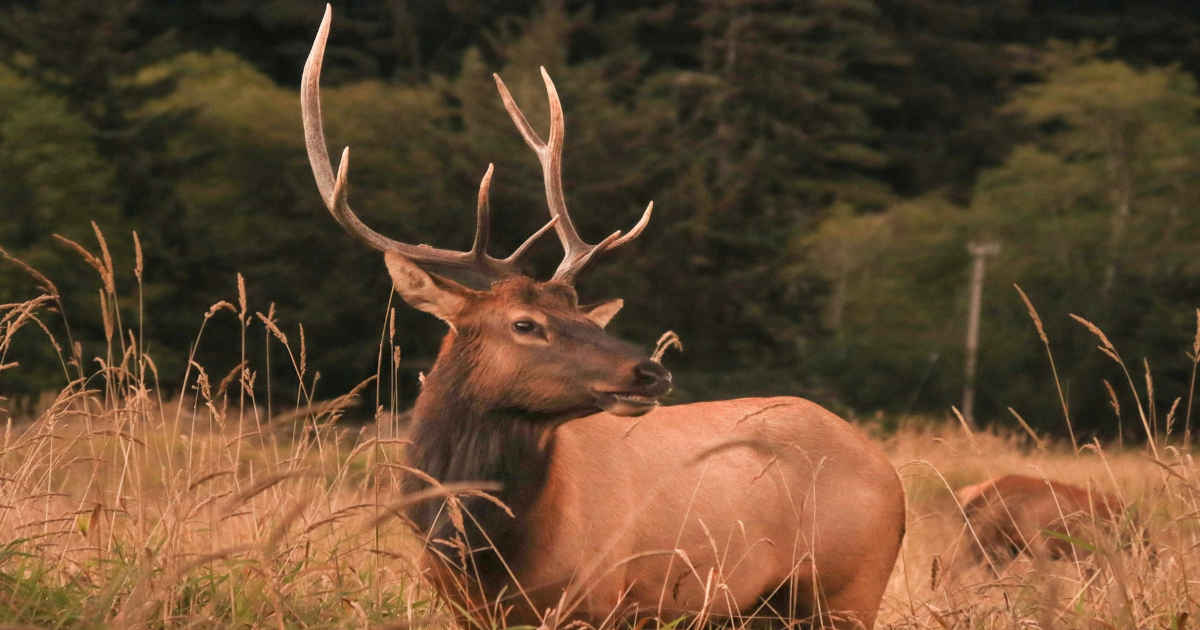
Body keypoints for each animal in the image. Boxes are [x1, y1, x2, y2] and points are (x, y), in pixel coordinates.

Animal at [301, 6, 905, 628]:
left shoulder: (598, 597)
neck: (486, 556)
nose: (651, 372)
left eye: (592, 323)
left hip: (850, 588)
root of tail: (890, 472)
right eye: (524, 323)